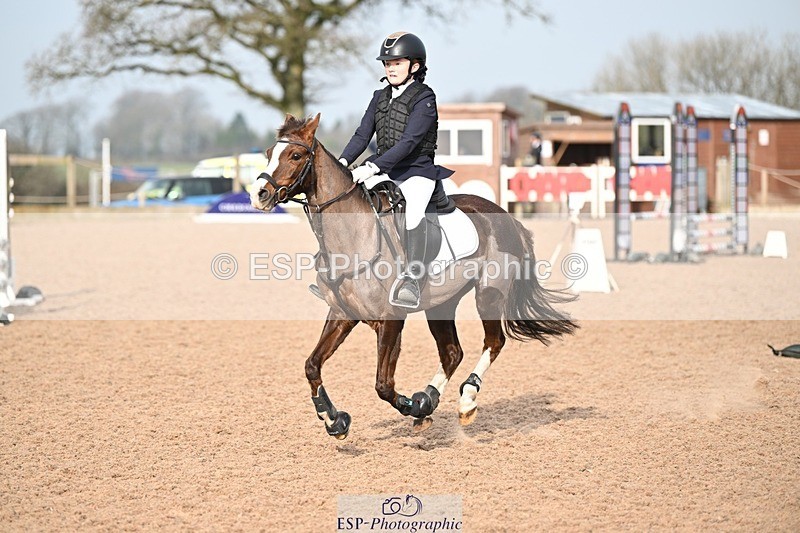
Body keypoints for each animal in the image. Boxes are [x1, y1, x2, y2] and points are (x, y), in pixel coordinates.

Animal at [251, 113, 577, 439]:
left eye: (295, 155)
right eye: (268, 153)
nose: (259, 195)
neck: (354, 235)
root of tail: (507, 217)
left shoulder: (391, 318)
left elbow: (383, 385)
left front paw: (411, 407)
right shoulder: (343, 314)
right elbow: (312, 365)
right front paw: (333, 419)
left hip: (489, 295)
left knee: (493, 342)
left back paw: (465, 400)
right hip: (442, 304)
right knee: (451, 352)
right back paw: (429, 397)